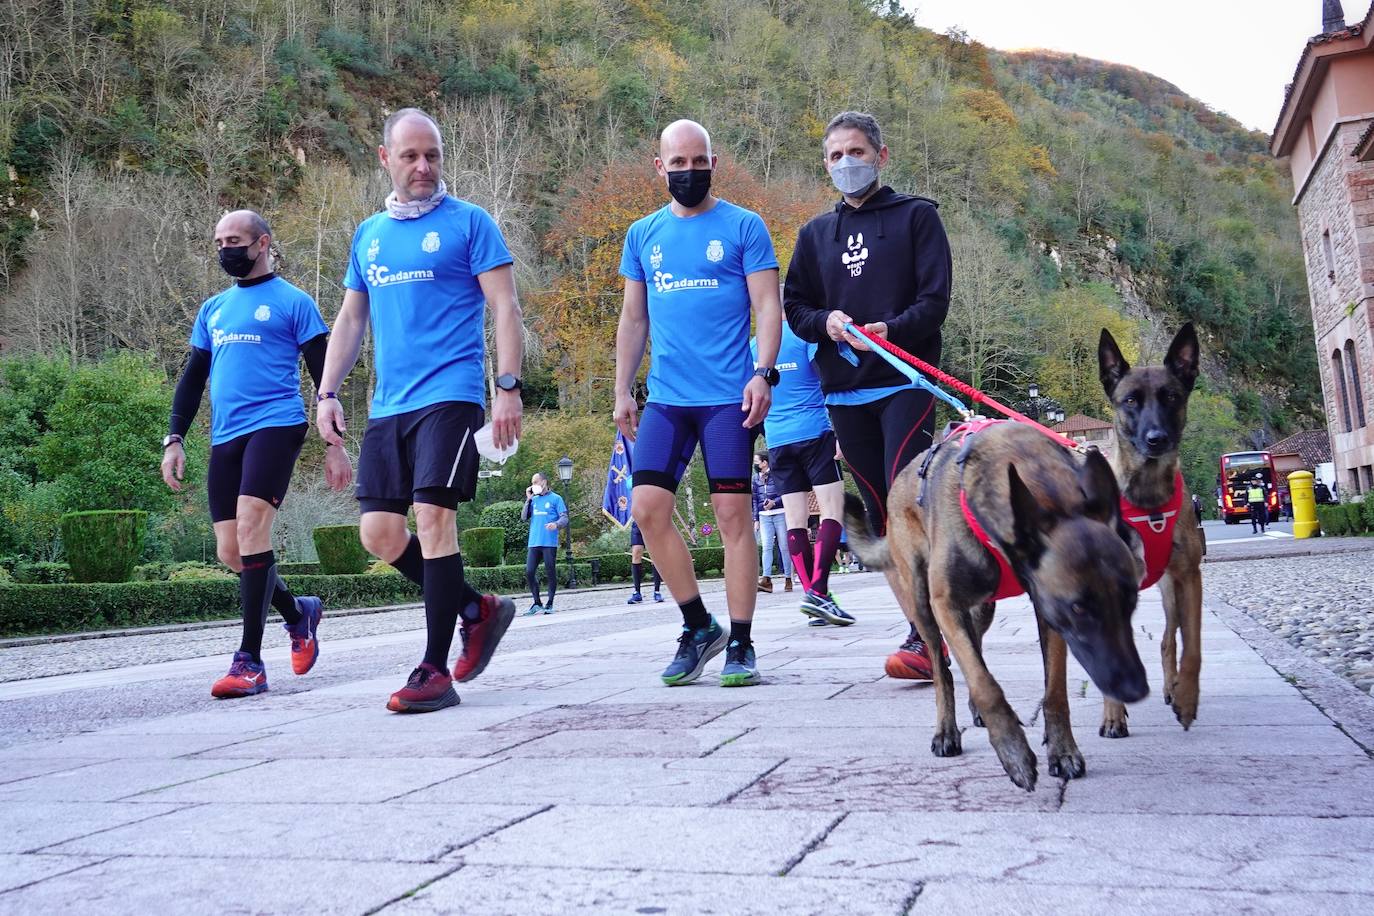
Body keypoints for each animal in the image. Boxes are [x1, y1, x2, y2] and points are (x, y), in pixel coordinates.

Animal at [846, 420, 1148, 791]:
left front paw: (1063, 751)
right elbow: (983, 682)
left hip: (982, 608)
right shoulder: (946, 604)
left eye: (1130, 600)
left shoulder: (1047, 614)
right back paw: (946, 730)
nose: (1136, 688)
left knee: (973, 643)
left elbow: (1054, 690)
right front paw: (1013, 753)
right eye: (1078, 608)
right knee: (943, 669)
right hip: (922, 603)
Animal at [1093, 324, 1203, 736]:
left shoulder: (1189, 578)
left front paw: (1187, 697)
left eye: (1171, 397)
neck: (1148, 497)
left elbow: (1193, 646)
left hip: (1171, 592)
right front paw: (1113, 714)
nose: (1157, 439)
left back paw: (1173, 688)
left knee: (1169, 639)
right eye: (1130, 401)